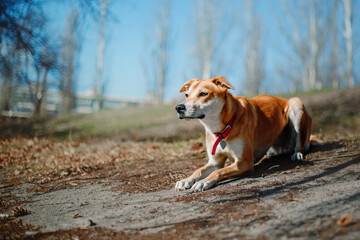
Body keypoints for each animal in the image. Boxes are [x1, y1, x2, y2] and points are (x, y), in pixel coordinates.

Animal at [174, 76, 312, 192]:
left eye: (203, 94)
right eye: (186, 95)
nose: (179, 108)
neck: (222, 128)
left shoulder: (244, 162)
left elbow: (219, 172)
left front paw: (203, 182)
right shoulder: (215, 162)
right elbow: (199, 170)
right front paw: (186, 180)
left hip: (296, 105)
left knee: (299, 141)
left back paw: (297, 153)